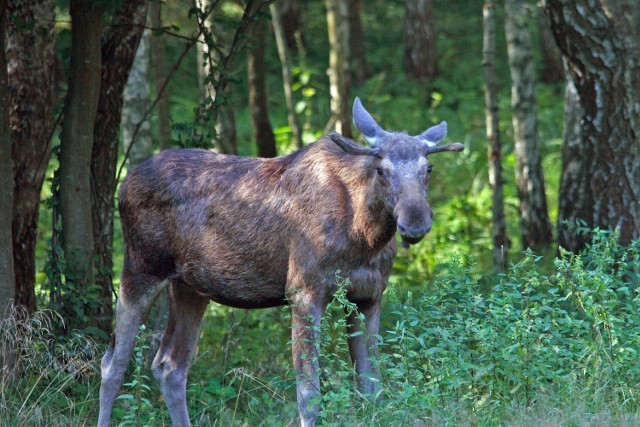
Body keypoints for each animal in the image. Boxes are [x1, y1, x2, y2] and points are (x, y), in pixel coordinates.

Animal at [97, 98, 462, 427]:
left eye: (428, 169)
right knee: (113, 365)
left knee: (169, 366)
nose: (416, 222)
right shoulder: (303, 292)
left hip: (190, 287)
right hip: (141, 269)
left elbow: (371, 389)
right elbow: (309, 395)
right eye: (381, 170)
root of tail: (124, 183)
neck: (364, 237)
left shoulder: (369, 296)